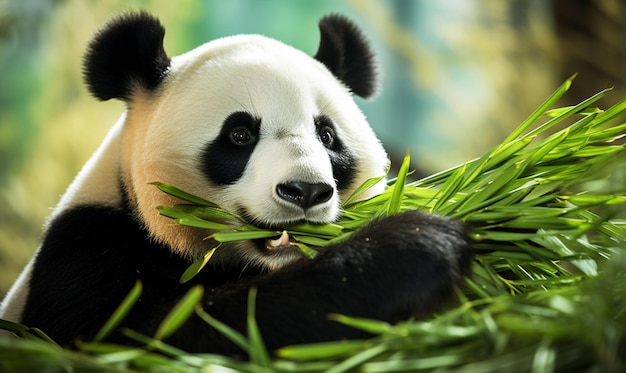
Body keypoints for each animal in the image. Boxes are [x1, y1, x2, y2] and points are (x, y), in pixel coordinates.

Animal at [0, 12, 468, 354]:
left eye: (327, 136)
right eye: (240, 135)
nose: (306, 191)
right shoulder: (85, 258)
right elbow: (161, 335)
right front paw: (415, 242)